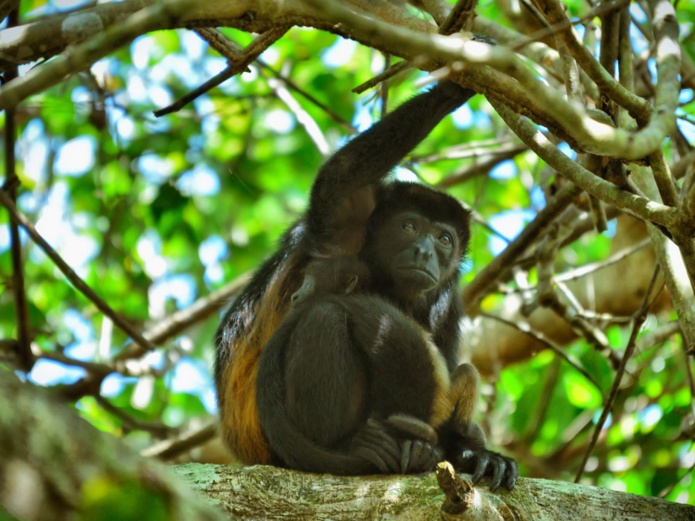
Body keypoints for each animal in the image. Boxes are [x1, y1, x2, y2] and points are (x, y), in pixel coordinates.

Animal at [215, 80, 520, 488]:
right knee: (324, 319)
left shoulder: (447, 297)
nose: (424, 251)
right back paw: (347, 445)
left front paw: (474, 454)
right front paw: (458, 83)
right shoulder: (348, 225)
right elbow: (342, 175)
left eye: (444, 239)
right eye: (409, 226)